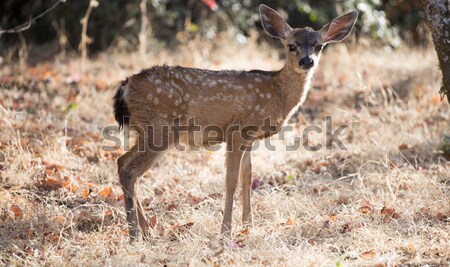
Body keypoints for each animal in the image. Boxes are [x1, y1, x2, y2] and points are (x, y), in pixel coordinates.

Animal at [113, 3, 358, 243]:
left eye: (319, 46)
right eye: (291, 46)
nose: (307, 61)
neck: (277, 94)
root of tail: (126, 86)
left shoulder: (250, 137)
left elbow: (247, 177)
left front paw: (249, 225)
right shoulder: (236, 130)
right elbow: (230, 180)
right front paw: (225, 231)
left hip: (147, 130)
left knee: (122, 162)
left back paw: (148, 232)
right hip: (161, 127)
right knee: (130, 170)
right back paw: (135, 235)